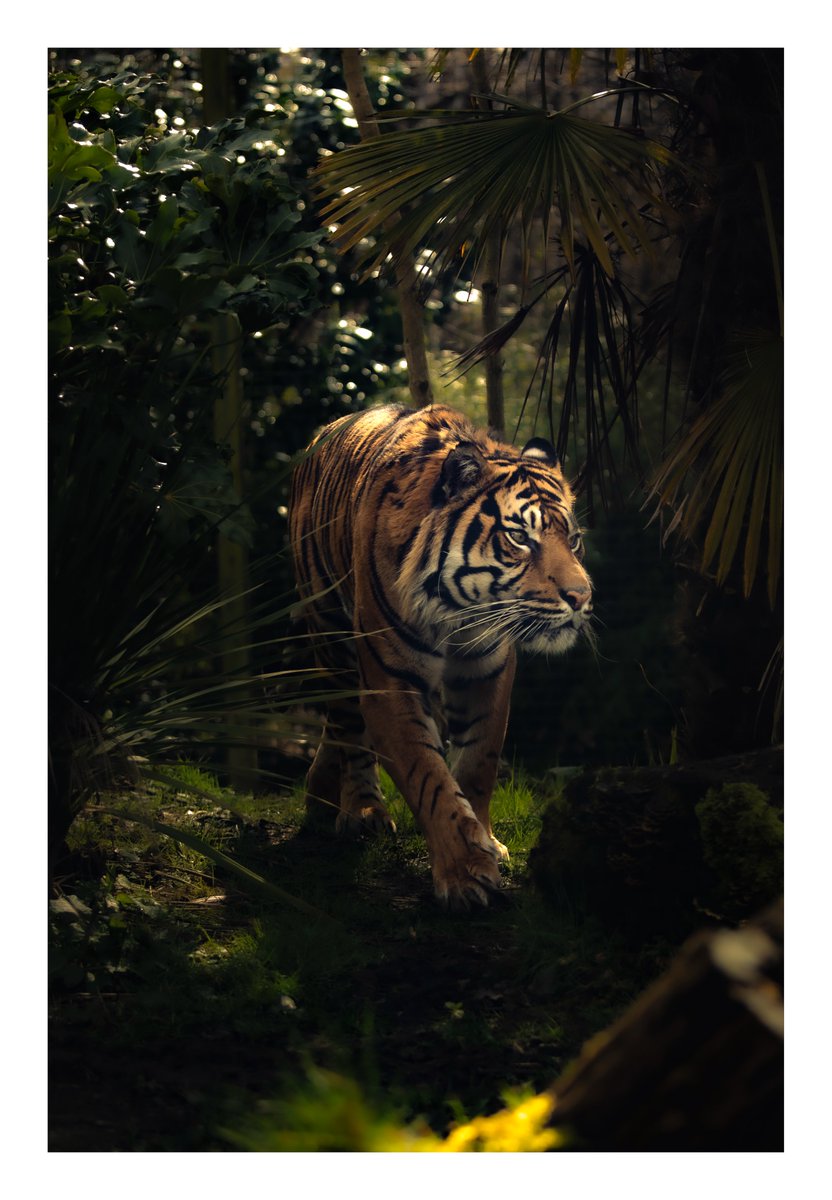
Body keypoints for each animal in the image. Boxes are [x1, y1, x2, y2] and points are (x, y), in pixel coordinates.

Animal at [289, 403, 593, 907]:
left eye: (573, 539)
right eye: (520, 538)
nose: (582, 596)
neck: (458, 608)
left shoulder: (487, 669)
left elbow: (477, 761)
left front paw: (486, 841)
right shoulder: (389, 679)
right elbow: (427, 775)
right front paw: (465, 875)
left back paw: (319, 794)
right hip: (330, 629)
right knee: (349, 726)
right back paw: (362, 811)